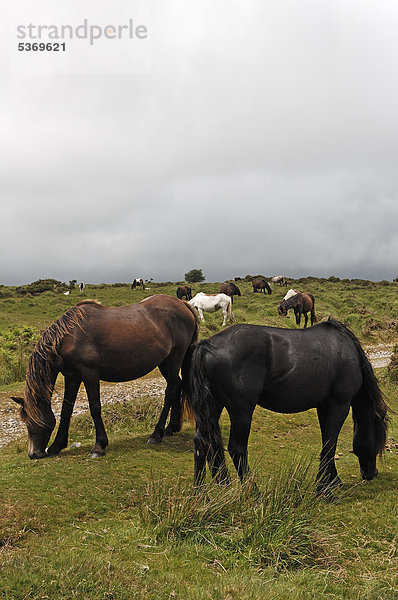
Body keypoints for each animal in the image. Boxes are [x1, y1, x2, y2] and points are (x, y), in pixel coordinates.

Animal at [12, 296, 199, 460]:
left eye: (32, 421)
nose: (33, 454)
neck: (70, 337)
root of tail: (183, 305)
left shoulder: (90, 373)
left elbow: (95, 407)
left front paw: (99, 446)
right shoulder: (72, 376)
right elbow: (66, 410)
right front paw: (57, 445)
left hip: (175, 358)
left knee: (171, 390)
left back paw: (156, 434)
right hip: (164, 362)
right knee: (177, 385)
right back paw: (171, 428)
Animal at [184, 318, 388, 492]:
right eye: (378, 439)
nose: (372, 473)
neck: (346, 350)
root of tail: (208, 345)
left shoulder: (324, 407)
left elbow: (326, 443)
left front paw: (332, 481)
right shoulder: (340, 405)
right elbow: (330, 444)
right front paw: (323, 488)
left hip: (214, 406)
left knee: (202, 443)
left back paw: (200, 493)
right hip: (241, 411)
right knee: (237, 449)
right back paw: (254, 492)